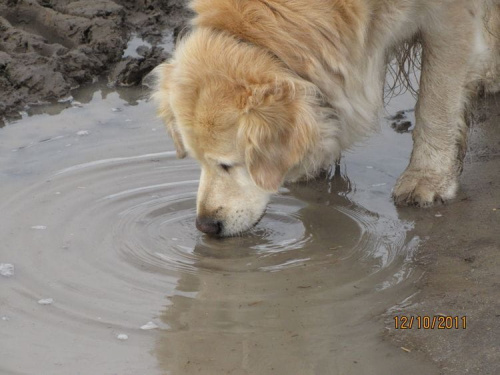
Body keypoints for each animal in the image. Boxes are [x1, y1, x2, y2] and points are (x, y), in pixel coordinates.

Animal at [152, 0, 500, 236]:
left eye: (228, 165)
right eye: (197, 161)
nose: (206, 226)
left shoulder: (449, 15)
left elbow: (436, 99)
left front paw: (427, 178)